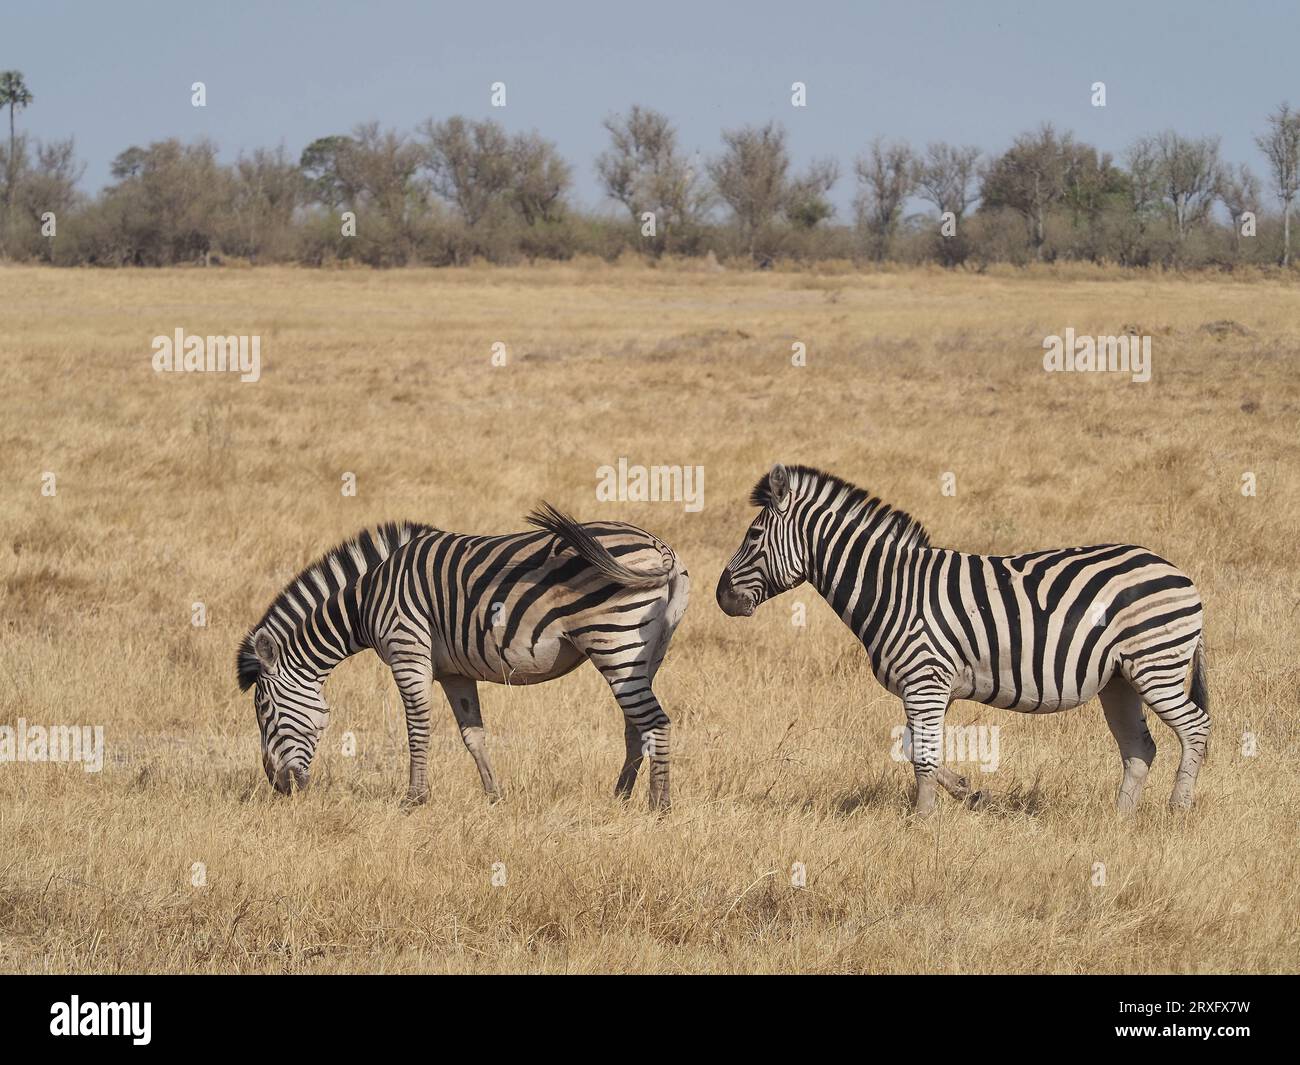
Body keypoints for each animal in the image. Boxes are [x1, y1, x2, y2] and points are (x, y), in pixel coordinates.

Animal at [240, 507, 696, 806]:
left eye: (264, 711)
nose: (278, 787)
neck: (368, 600)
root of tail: (661, 548)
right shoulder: (454, 672)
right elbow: (472, 734)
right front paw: (494, 797)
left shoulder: (408, 651)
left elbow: (417, 727)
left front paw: (414, 799)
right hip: (645, 652)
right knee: (636, 726)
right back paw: (619, 799)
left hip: (615, 641)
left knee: (655, 722)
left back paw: (659, 808)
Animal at [712, 465, 1206, 816]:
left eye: (753, 535)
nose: (721, 597)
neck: (892, 587)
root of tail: (1177, 572)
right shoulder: (930, 687)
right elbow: (911, 746)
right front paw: (969, 793)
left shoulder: (925, 681)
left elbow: (923, 756)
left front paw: (923, 821)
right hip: (1119, 680)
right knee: (1140, 748)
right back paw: (1119, 821)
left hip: (1155, 665)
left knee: (1195, 727)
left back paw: (1177, 810)